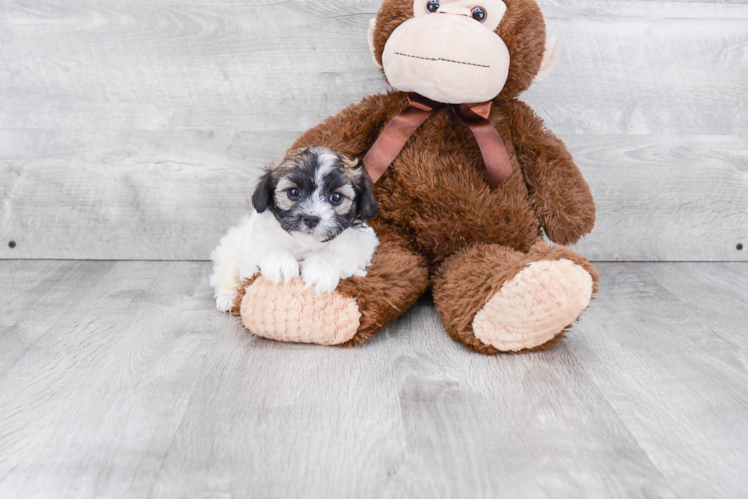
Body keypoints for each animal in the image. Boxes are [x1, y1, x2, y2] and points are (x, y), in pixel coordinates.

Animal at [209, 145, 380, 310]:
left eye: (336, 197)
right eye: (293, 192)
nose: (311, 218)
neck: (305, 243)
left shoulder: (363, 244)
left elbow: (340, 253)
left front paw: (320, 269)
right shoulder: (253, 238)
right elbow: (264, 245)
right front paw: (280, 262)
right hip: (232, 243)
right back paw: (228, 297)